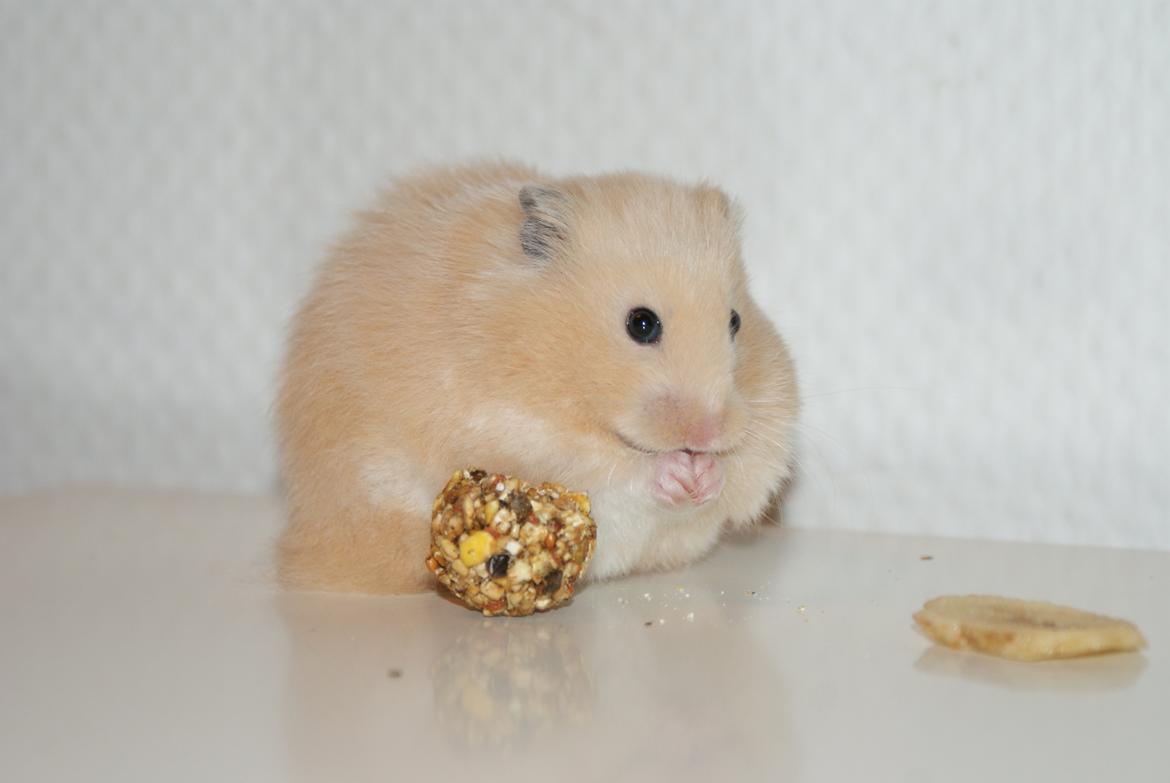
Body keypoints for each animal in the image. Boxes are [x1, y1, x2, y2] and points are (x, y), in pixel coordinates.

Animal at [276, 162, 798, 594]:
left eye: (735, 321)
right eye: (641, 324)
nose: (708, 433)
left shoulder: (771, 420)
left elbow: (747, 471)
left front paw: (706, 474)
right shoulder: (513, 424)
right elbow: (609, 466)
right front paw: (675, 472)